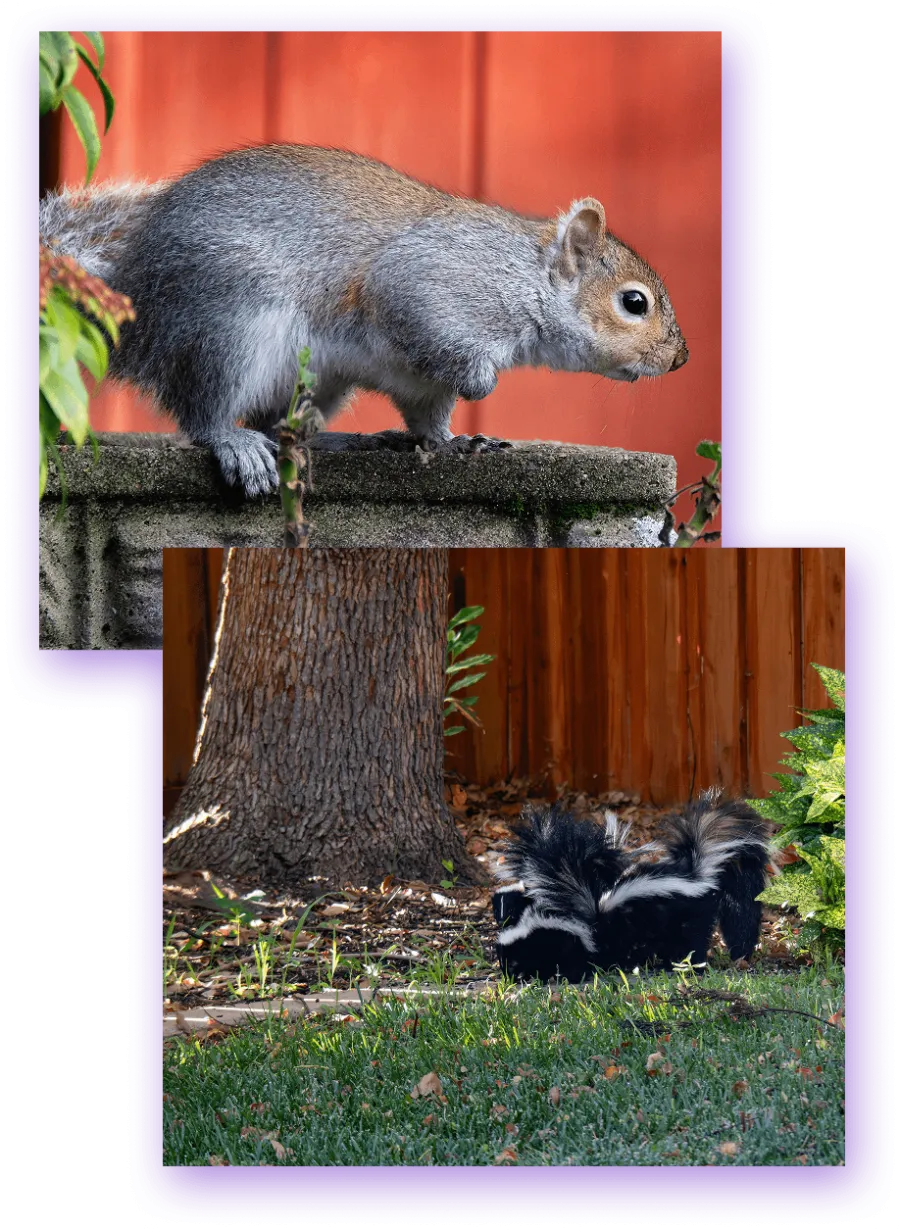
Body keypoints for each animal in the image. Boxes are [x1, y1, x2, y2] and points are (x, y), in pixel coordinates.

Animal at [40, 144, 689, 497]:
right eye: (634, 303)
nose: (680, 359)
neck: (524, 277)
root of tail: (141, 302)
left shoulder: (420, 381)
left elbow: (428, 416)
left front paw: (454, 441)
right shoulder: (428, 288)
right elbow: (424, 323)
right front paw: (481, 384)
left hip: (318, 379)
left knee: (281, 422)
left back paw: (340, 438)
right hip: (230, 322)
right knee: (206, 408)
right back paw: (233, 441)